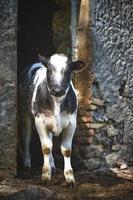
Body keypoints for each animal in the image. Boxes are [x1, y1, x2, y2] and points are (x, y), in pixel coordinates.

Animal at [20, 53, 86, 186]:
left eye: (68, 71)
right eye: (49, 71)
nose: (57, 90)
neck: (57, 102)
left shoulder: (71, 123)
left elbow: (66, 150)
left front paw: (70, 178)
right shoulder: (40, 121)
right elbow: (46, 148)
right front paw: (45, 176)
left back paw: (52, 165)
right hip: (25, 113)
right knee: (27, 138)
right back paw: (27, 163)